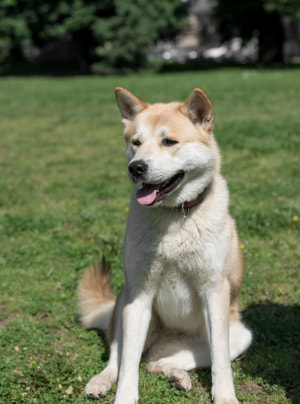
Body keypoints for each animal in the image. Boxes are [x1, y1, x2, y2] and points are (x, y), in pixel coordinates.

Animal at [77, 87, 251, 402]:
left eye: (169, 141)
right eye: (136, 142)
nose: (136, 168)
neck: (174, 217)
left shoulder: (215, 292)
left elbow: (220, 360)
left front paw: (224, 396)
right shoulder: (139, 297)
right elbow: (127, 364)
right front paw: (124, 396)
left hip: (240, 335)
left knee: (159, 362)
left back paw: (177, 375)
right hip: (125, 305)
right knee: (121, 355)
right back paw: (102, 380)